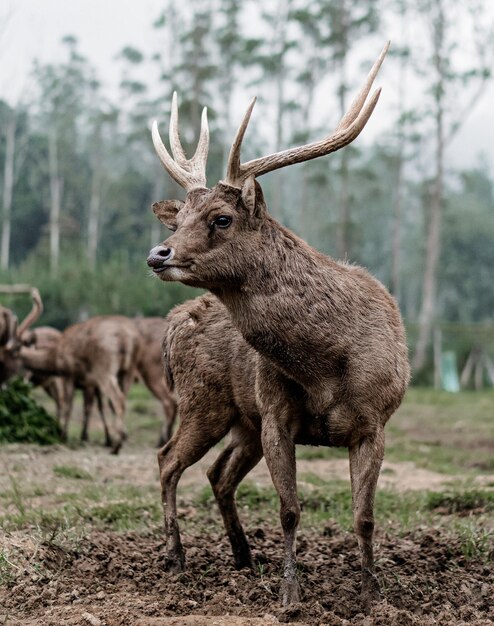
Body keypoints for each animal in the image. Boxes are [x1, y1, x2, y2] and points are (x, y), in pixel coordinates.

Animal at [146, 44, 410, 608]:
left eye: (221, 218)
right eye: (179, 221)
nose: (159, 253)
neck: (328, 365)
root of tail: (172, 324)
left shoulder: (375, 420)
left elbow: (365, 516)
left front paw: (372, 591)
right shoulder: (274, 413)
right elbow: (290, 510)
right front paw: (291, 592)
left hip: (237, 419)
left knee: (216, 473)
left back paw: (244, 557)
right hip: (205, 400)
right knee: (167, 459)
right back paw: (176, 558)